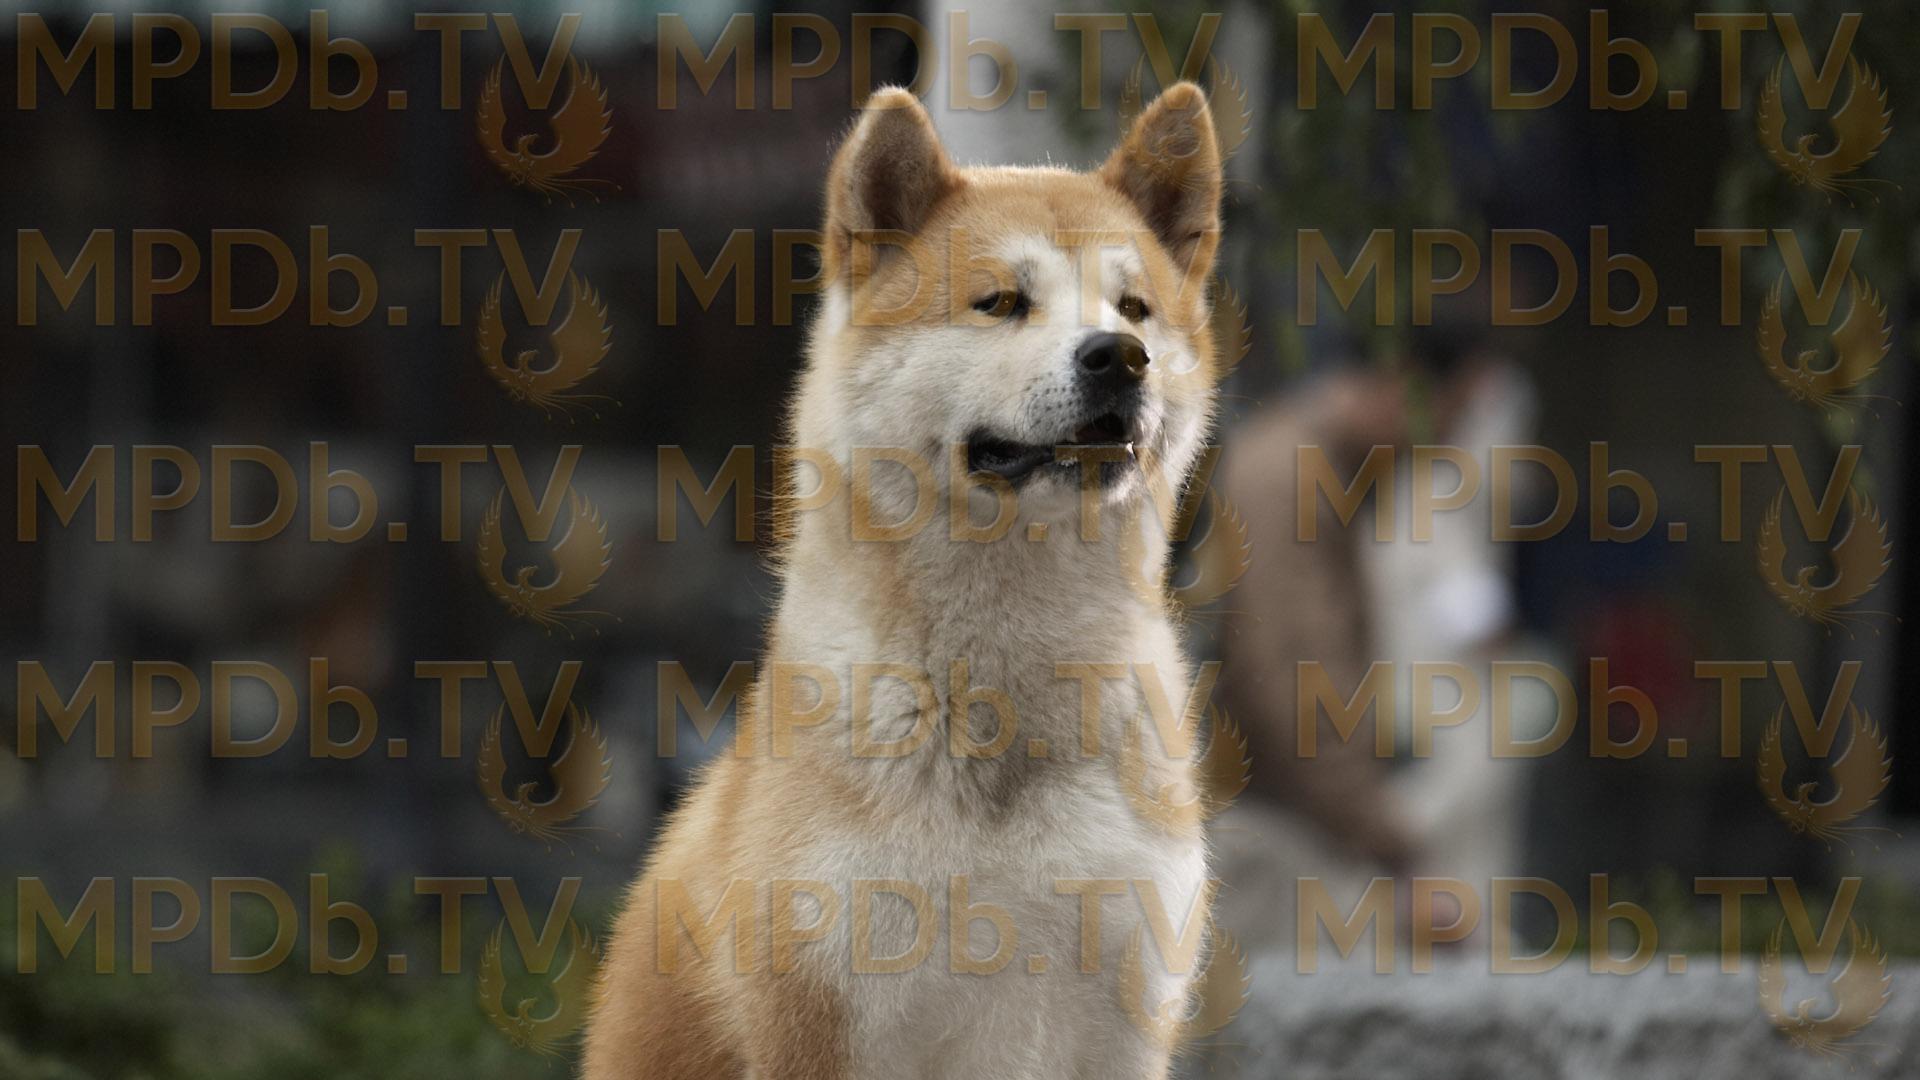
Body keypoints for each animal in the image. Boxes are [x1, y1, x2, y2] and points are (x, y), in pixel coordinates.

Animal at [584, 80, 1228, 1079]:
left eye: (1135, 307)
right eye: (1000, 302)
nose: (1119, 355)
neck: (1002, 699)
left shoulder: (1124, 1020)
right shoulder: (824, 1025)